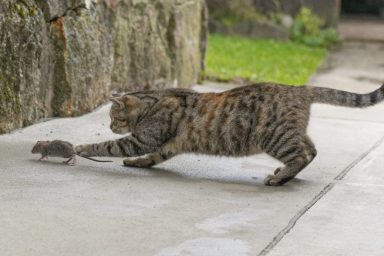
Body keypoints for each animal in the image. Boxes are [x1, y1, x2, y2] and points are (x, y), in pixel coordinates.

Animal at [75, 84, 384, 186]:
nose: (111, 126)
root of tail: (299, 88)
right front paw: (137, 163)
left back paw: (279, 178)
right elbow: (153, 157)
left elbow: (109, 146)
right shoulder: (168, 146)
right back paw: (284, 174)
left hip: (275, 136)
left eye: (114, 118)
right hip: (290, 132)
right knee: (312, 149)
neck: (153, 101)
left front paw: (82, 148)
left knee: (304, 153)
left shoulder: (142, 139)